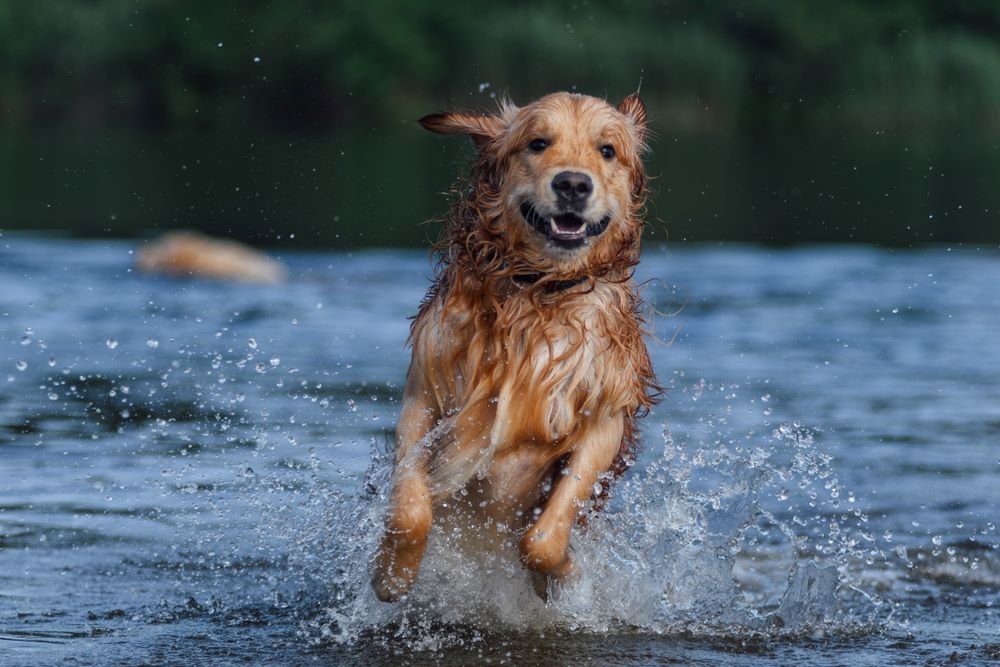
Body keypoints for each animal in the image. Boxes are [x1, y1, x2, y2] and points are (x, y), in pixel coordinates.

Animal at [372, 91, 660, 604]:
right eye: (538, 142)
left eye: (607, 150)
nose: (572, 184)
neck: (537, 294)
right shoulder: (424, 395)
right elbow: (410, 508)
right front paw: (392, 577)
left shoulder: (602, 421)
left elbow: (542, 539)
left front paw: (565, 576)